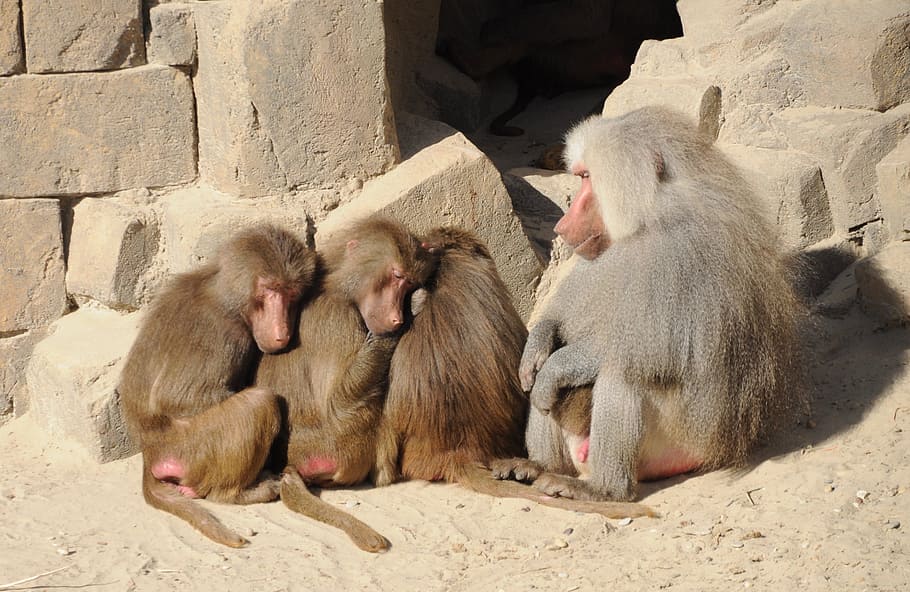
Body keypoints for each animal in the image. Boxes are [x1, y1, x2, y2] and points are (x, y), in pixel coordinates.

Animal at [118, 224, 316, 548]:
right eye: (269, 290)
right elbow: (175, 397)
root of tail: (151, 452)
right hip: (195, 449)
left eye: (291, 293)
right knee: (258, 404)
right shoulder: (223, 334)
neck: (226, 297)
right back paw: (238, 494)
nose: (281, 332)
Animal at [255, 216, 439, 553]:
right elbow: (340, 402)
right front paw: (410, 315)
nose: (396, 318)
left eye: (409, 282)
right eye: (396, 277)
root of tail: (296, 461)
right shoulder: (340, 319)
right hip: (350, 449)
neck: (338, 288)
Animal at [492, 106, 809, 502]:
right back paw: (535, 466)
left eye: (586, 177)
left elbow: (657, 350)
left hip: (684, 438)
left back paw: (601, 489)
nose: (561, 226)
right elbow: (556, 328)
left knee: (622, 371)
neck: (652, 217)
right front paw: (536, 345)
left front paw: (555, 368)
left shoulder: (680, 256)